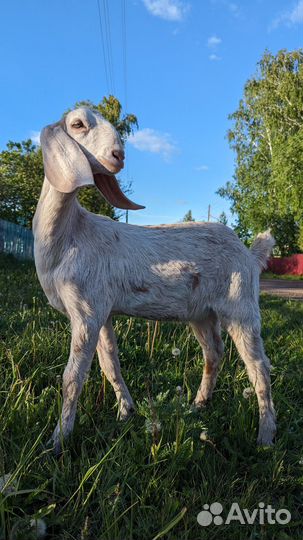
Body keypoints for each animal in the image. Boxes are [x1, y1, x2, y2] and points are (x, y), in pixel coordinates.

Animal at [33, 107, 278, 454]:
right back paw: (199, 404)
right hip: (202, 313)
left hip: (241, 306)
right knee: (214, 352)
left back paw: (266, 435)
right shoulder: (101, 310)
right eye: (77, 124)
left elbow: (73, 376)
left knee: (259, 367)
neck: (69, 236)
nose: (118, 155)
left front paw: (58, 442)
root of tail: (251, 255)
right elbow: (110, 363)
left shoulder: (85, 311)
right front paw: (126, 411)